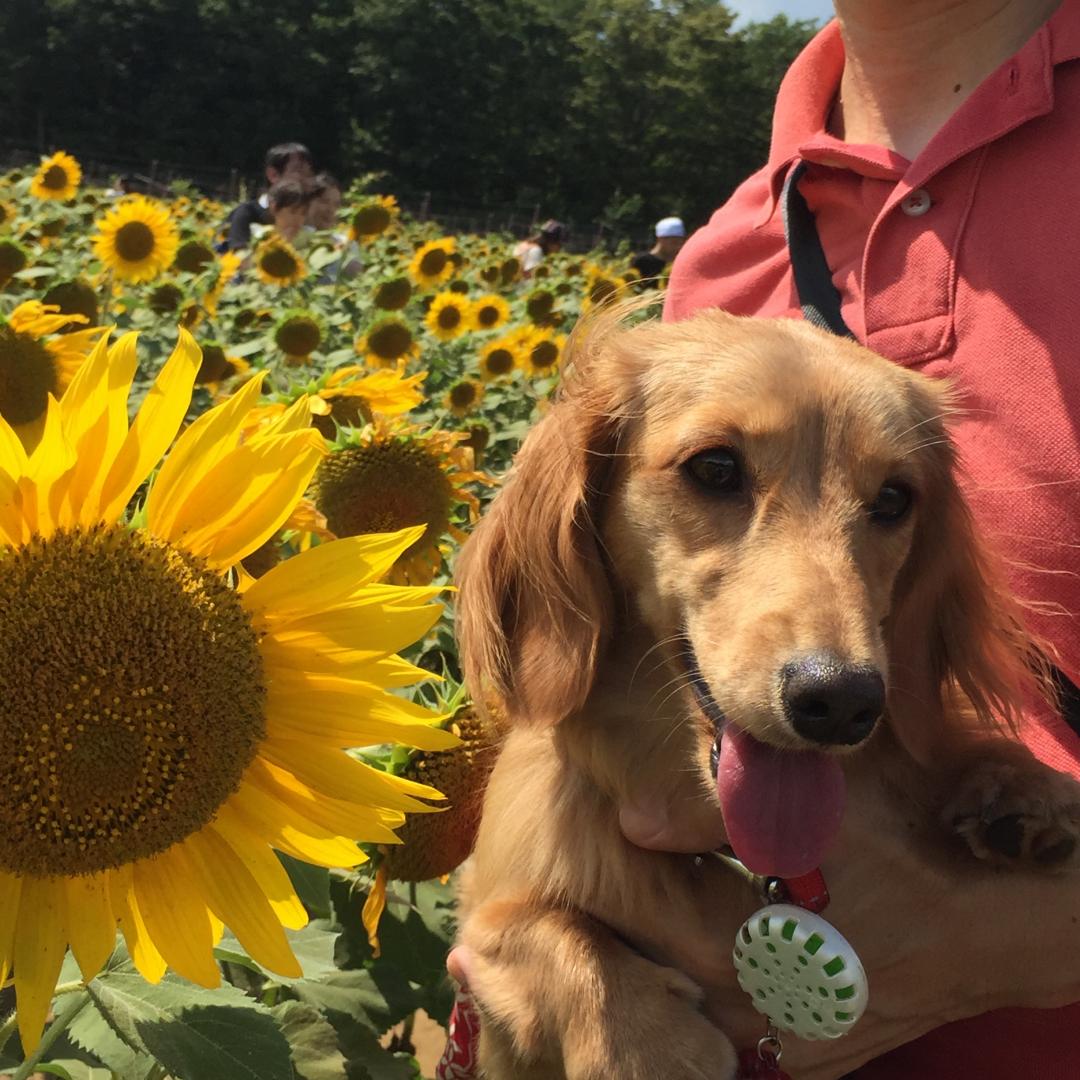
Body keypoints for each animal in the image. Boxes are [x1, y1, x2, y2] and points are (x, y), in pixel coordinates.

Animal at [449, 306, 1080, 1080]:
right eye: (715, 467)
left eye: (894, 499)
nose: (841, 702)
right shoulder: (484, 915)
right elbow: (541, 930)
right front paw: (649, 1046)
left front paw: (1023, 788)